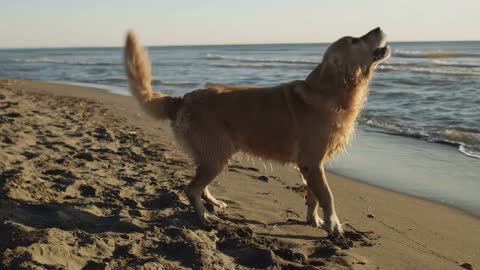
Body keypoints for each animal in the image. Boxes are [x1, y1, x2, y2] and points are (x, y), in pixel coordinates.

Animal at [124, 27, 390, 234]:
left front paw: (313, 219)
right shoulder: (312, 162)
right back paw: (204, 217)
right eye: (354, 40)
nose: (379, 27)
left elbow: (314, 195)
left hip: (212, 156)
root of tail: (182, 99)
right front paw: (333, 225)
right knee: (191, 189)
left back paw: (214, 203)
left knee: (199, 186)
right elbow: (327, 195)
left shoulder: (312, 165)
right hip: (216, 157)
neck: (331, 90)